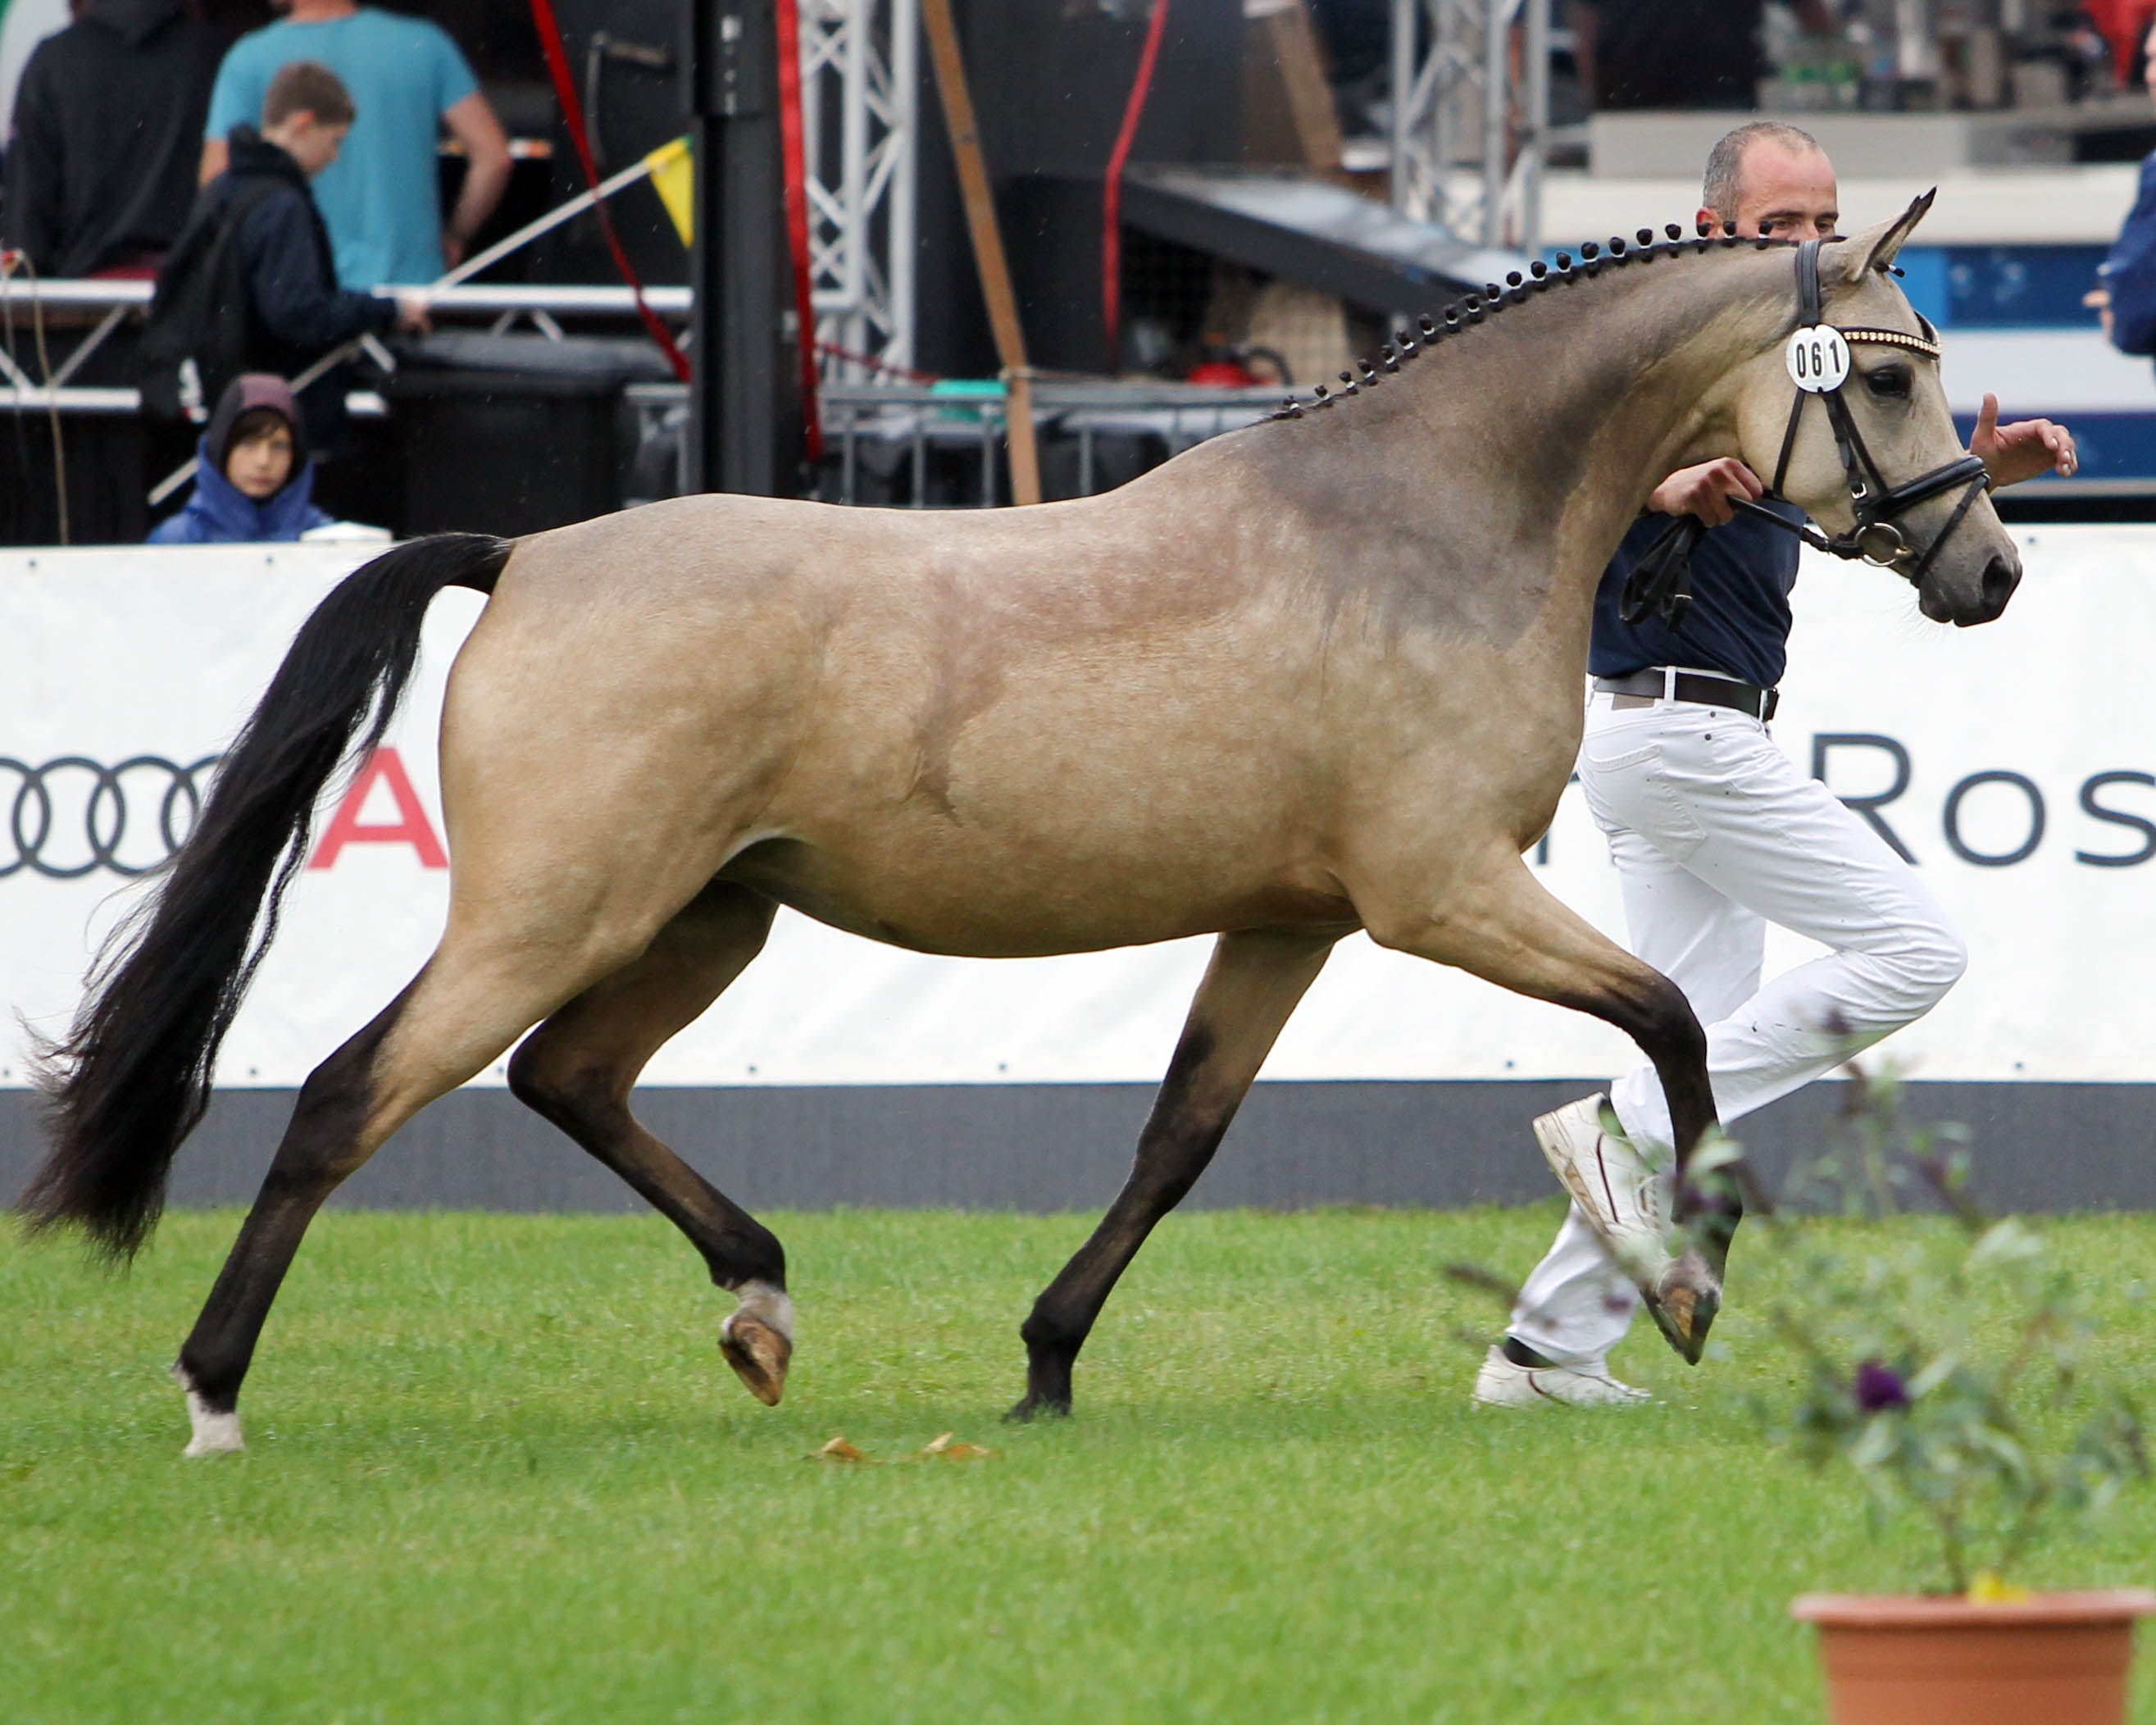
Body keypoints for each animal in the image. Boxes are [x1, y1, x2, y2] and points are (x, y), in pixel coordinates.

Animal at [25, 192, 2017, 1457]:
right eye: (1892, 373)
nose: (1989, 570)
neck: (1428, 514)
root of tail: (524, 554)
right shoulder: (1438, 894)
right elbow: (1672, 1027)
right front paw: (1684, 1284)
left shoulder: (1287, 918)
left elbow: (1177, 1139)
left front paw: (1047, 1366)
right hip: (556, 914)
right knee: (350, 1095)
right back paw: (213, 1391)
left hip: (705, 917)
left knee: (565, 1080)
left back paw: (761, 1304)